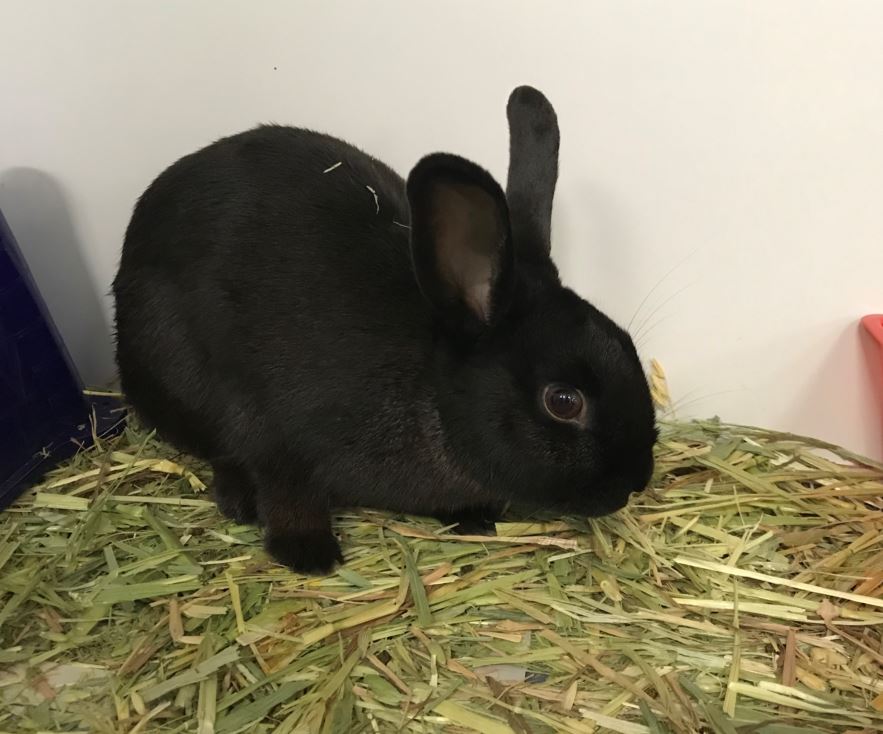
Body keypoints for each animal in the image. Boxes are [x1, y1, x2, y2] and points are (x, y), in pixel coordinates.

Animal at [112, 85, 658, 574]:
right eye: (563, 401)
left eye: (628, 345)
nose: (636, 482)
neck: (433, 402)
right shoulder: (273, 435)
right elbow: (289, 497)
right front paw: (310, 555)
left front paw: (473, 518)